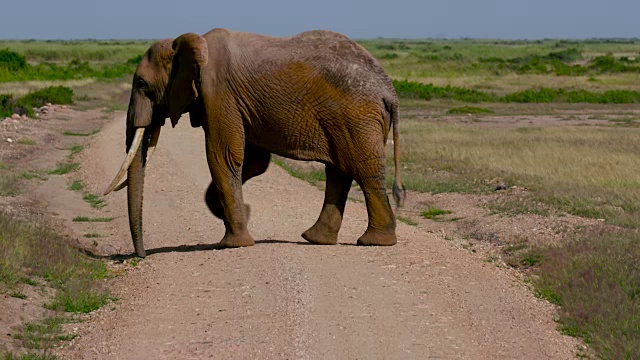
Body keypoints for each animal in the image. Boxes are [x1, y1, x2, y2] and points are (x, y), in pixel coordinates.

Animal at [104, 28, 404, 258]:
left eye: (142, 84)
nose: (141, 256)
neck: (191, 42)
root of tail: (389, 90)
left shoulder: (218, 93)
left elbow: (222, 155)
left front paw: (233, 242)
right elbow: (254, 162)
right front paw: (240, 213)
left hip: (356, 117)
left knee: (362, 171)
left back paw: (374, 242)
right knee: (339, 172)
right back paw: (316, 239)